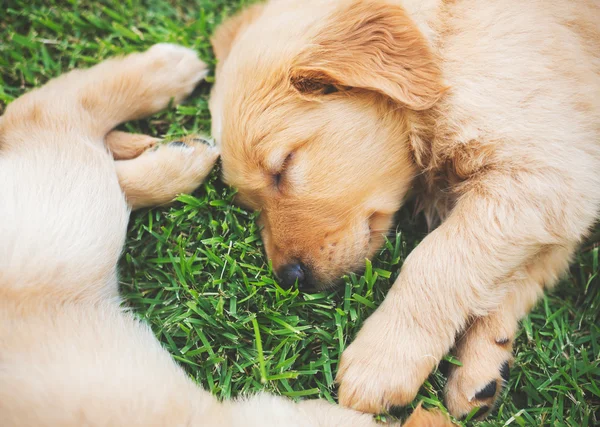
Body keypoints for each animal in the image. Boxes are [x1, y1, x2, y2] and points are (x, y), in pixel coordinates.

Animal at [210, 0, 600, 422]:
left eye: (283, 167)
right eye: (250, 204)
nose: (290, 278)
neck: (443, 49)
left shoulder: (551, 170)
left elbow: (437, 259)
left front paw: (383, 361)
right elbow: (521, 270)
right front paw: (481, 364)